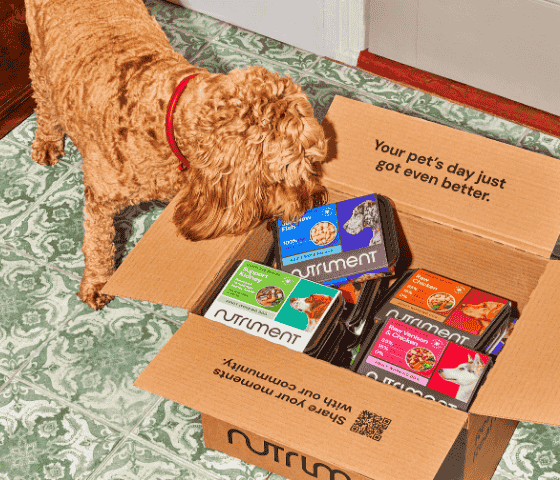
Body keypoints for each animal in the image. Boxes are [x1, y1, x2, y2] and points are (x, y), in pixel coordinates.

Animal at [26, 0, 326, 310]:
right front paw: (97, 283)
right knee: (43, 100)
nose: (317, 201)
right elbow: (98, 245)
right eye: (285, 176)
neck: (166, 115)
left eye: (315, 164)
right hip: (38, 58)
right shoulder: (99, 201)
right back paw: (47, 141)